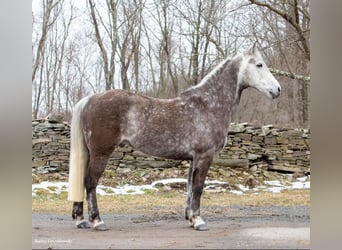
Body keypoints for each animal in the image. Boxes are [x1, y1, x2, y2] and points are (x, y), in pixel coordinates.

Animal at [67, 44, 280, 231]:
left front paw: (191, 219)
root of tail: (90, 99)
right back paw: (97, 221)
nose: (277, 89)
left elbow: (189, 188)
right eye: (259, 64)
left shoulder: (193, 159)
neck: (208, 105)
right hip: (101, 153)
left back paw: (80, 220)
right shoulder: (204, 156)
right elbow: (198, 188)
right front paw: (199, 221)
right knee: (90, 182)